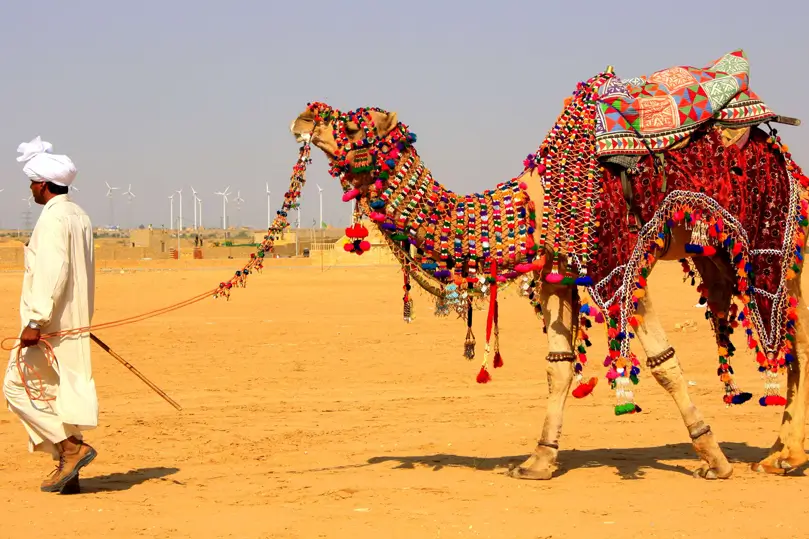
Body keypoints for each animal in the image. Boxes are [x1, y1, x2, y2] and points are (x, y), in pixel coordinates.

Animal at [287, 50, 809, 480]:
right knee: (788, 340)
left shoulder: (621, 264)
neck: (537, 205)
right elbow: (558, 368)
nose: (303, 115)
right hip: (727, 255)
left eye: (357, 125)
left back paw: (784, 457)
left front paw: (714, 460)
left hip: (778, 243)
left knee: (794, 338)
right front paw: (537, 460)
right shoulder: (558, 274)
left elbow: (664, 363)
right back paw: (778, 454)